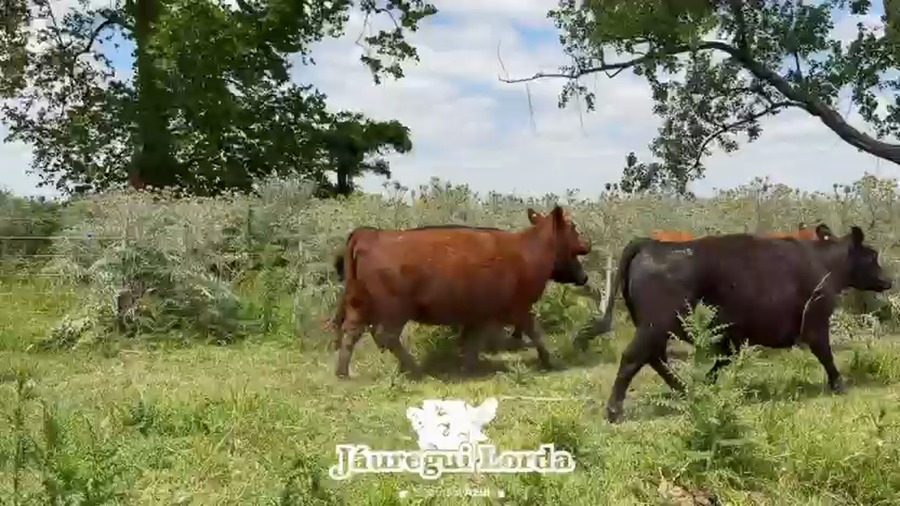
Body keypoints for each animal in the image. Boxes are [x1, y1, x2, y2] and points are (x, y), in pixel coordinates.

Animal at [332, 206, 592, 379]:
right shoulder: (515, 308)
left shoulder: (481, 313)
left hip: (359, 303)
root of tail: (370, 233)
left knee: (352, 332)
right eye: (573, 226)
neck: (526, 252)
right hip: (394, 309)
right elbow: (534, 332)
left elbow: (471, 340)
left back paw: (343, 373)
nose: (588, 244)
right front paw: (550, 361)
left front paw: (468, 366)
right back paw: (415, 370)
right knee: (385, 336)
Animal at [573, 223, 890, 423]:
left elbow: (720, 363)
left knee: (654, 358)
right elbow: (826, 355)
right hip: (654, 325)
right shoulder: (815, 323)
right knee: (633, 358)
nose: (889, 280)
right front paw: (839, 385)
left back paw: (685, 391)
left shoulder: (733, 335)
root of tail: (652, 244)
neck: (824, 264)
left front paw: (708, 388)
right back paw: (615, 411)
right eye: (872, 255)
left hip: (656, 327)